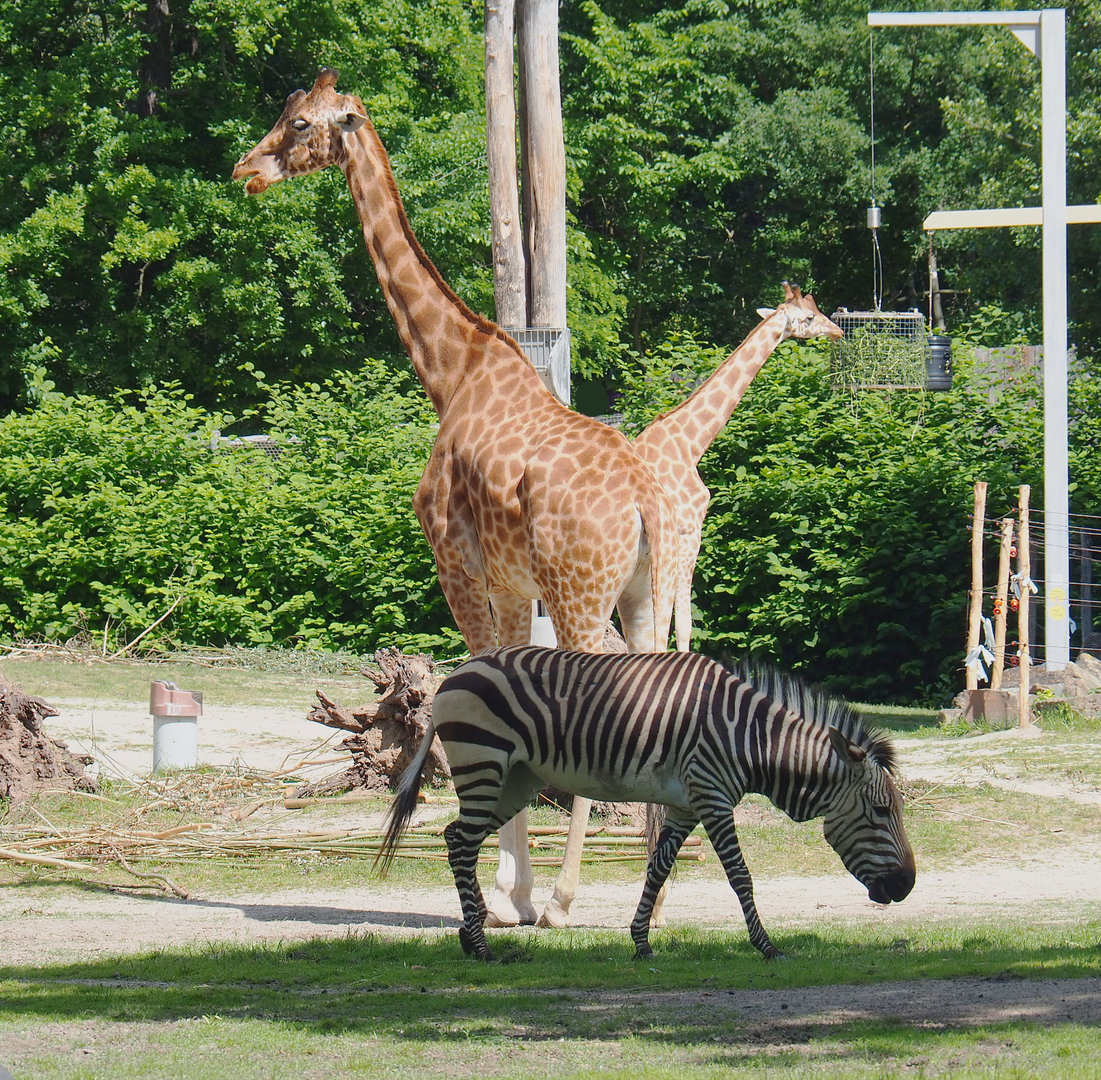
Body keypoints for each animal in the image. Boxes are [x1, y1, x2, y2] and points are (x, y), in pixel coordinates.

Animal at [233, 68, 676, 929]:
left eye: (299, 124)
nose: (246, 169)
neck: (450, 373)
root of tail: (643, 501)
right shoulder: (508, 582)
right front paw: (512, 887)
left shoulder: (458, 566)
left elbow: (473, 691)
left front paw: (511, 897)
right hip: (640, 593)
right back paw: (654, 891)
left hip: (579, 594)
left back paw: (567, 900)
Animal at [378, 645, 915, 962]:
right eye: (882, 812)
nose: (907, 886)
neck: (751, 738)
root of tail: (457, 673)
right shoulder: (713, 796)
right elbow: (740, 875)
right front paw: (766, 946)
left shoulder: (687, 805)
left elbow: (657, 867)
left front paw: (640, 942)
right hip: (484, 764)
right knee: (463, 844)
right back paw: (481, 946)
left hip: (516, 780)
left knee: (455, 839)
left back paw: (471, 935)